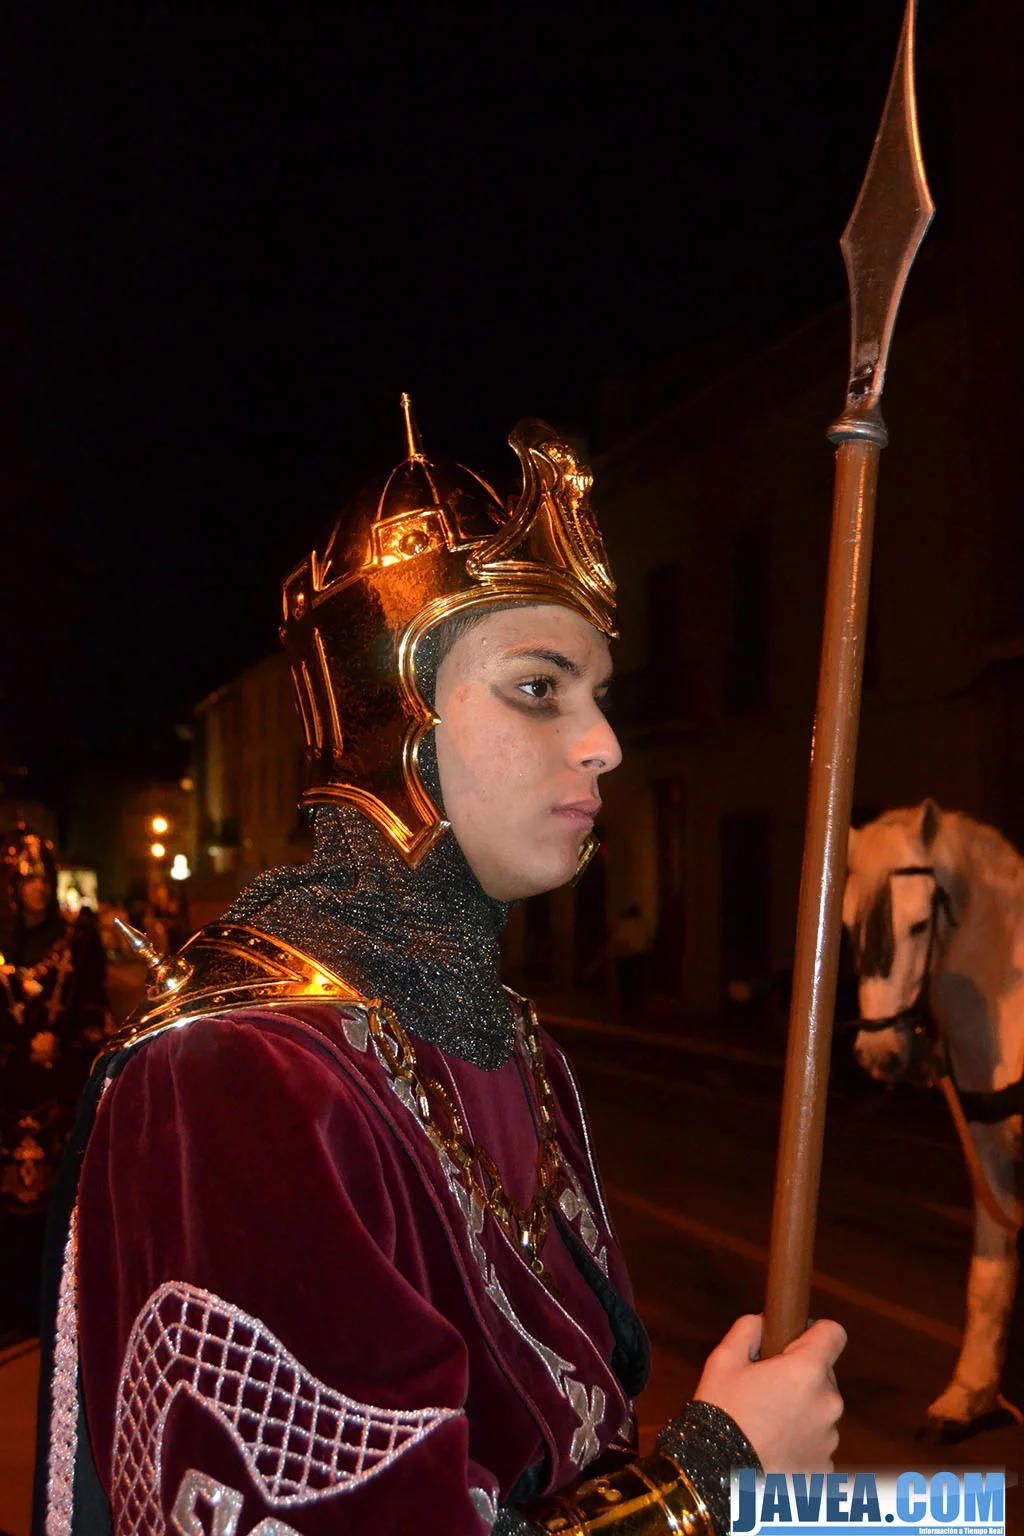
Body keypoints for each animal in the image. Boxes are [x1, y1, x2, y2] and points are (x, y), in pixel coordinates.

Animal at [841, 798, 1024, 1431]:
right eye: (845, 928)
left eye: (921, 924)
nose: (879, 1055)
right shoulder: (987, 1152)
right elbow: (989, 1273)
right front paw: (969, 1395)